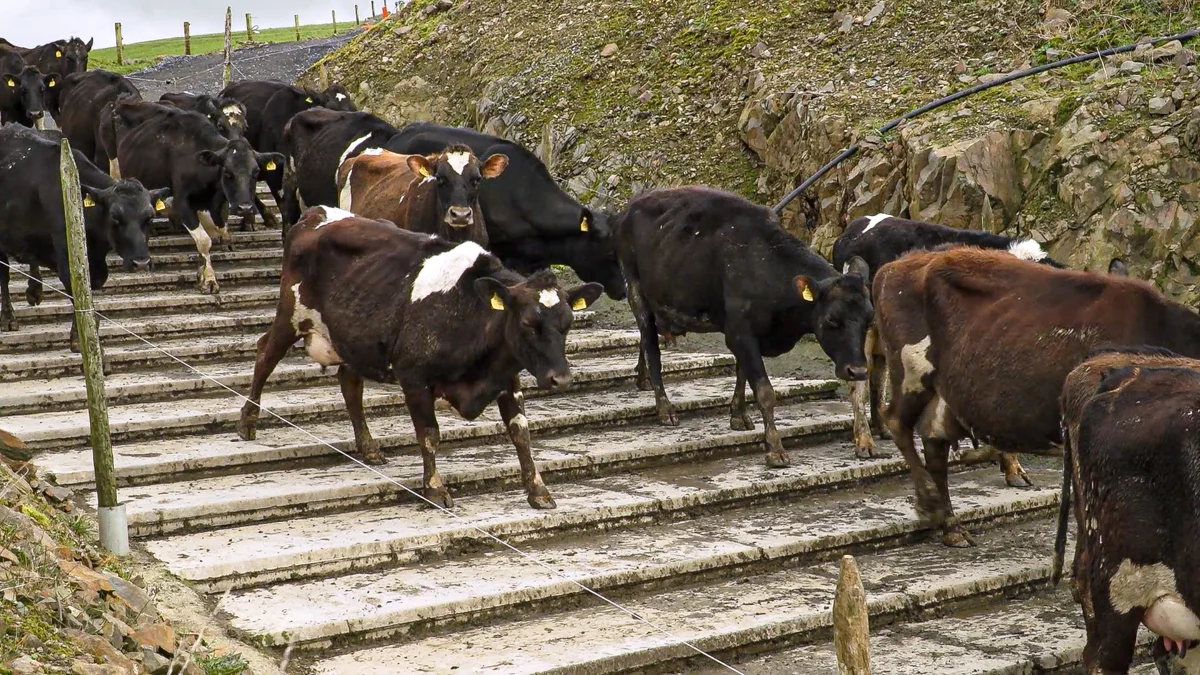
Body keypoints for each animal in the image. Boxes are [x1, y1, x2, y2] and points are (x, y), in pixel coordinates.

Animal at [0, 125, 167, 349]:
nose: (141, 263)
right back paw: (8, 318)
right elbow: (76, 292)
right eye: (114, 217)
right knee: (4, 275)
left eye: (150, 217)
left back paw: (35, 291)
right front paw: (79, 338)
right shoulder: (66, 257)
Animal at [114, 105, 284, 293]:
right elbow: (204, 240)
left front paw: (201, 273)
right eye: (227, 173)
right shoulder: (182, 203)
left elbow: (215, 233)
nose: (245, 208)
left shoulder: (216, 204)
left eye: (255, 172)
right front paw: (209, 280)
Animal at [236, 206, 603, 509]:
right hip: (291, 314)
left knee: (350, 384)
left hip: (349, 336)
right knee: (265, 355)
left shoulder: (507, 376)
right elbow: (429, 433)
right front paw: (435, 488)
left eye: (568, 323)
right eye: (528, 323)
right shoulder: (412, 376)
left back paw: (369, 447)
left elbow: (521, 433)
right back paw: (247, 422)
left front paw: (538, 491)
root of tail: (316, 214)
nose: (560, 378)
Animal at [614, 186, 874, 468]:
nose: (858, 371)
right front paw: (775, 450)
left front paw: (738, 415)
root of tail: (630, 207)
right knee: (651, 346)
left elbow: (741, 373)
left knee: (644, 340)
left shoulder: (741, 332)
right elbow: (764, 390)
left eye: (869, 319)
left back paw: (642, 380)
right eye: (831, 320)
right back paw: (664, 409)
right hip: (635, 290)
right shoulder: (741, 332)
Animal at [872, 246, 1200, 547]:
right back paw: (929, 504)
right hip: (912, 373)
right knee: (897, 422)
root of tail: (895, 265)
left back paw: (951, 526)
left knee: (934, 443)